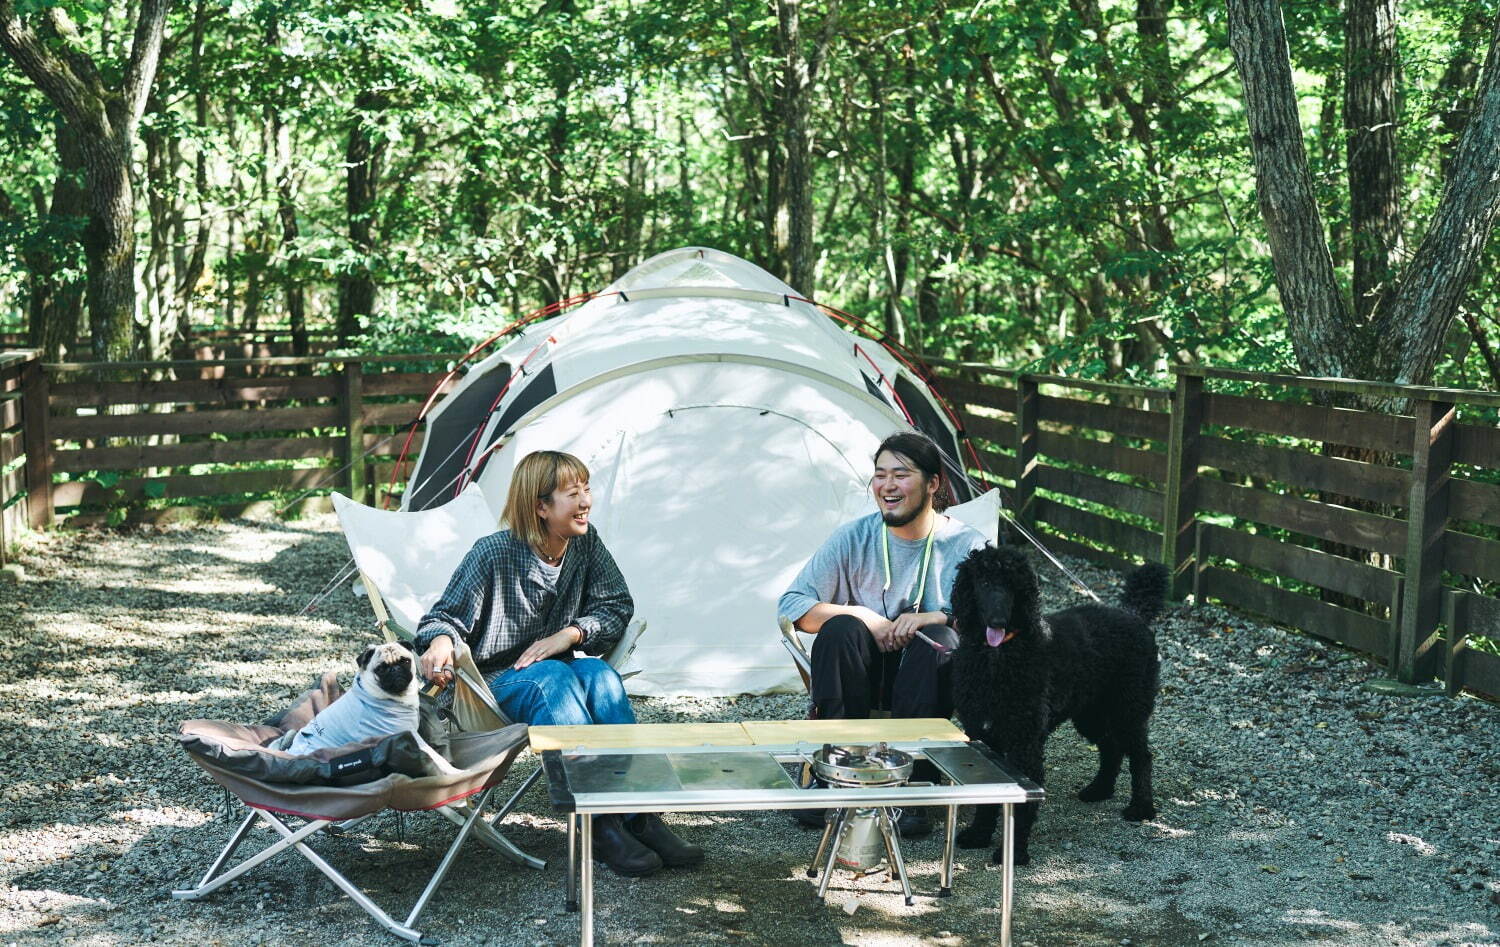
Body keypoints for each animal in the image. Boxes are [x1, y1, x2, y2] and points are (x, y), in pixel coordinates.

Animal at [286, 642, 456, 774]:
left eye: (405, 661)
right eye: (381, 669)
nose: (395, 669)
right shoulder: (413, 737)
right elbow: (436, 758)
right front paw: (454, 771)